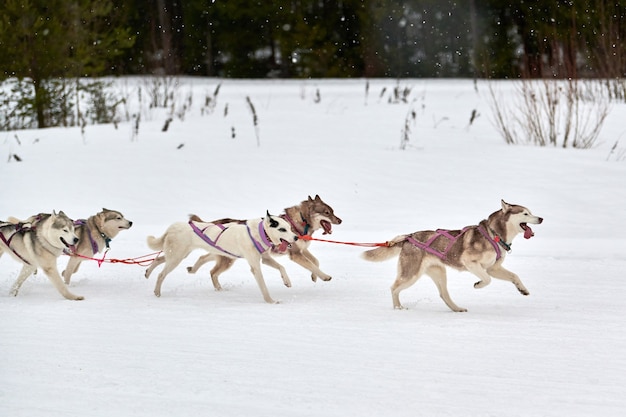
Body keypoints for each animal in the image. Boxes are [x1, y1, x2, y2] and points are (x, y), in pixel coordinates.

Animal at [144, 211, 298, 302]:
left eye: (290, 228)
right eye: (282, 229)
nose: (296, 237)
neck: (261, 232)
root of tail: (173, 226)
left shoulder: (265, 258)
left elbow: (282, 267)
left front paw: (287, 281)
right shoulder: (255, 266)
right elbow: (264, 287)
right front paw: (270, 301)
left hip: (178, 255)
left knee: (158, 259)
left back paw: (148, 272)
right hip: (177, 257)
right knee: (161, 274)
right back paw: (157, 292)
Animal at [185, 195, 342, 282]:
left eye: (332, 211)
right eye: (327, 212)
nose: (340, 220)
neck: (301, 221)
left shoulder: (301, 250)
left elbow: (315, 262)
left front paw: (314, 276)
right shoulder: (296, 254)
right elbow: (312, 264)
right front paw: (324, 276)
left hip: (226, 257)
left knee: (204, 260)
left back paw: (192, 270)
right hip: (228, 259)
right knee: (212, 271)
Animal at [360, 200, 540, 310]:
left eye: (531, 212)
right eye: (525, 214)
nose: (541, 218)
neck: (494, 235)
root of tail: (408, 237)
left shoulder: (493, 268)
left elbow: (514, 276)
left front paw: (522, 289)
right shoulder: (471, 262)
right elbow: (487, 280)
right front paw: (478, 284)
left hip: (439, 273)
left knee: (443, 294)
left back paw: (457, 309)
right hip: (411, 274)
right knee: (394, 288)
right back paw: (398, 307)